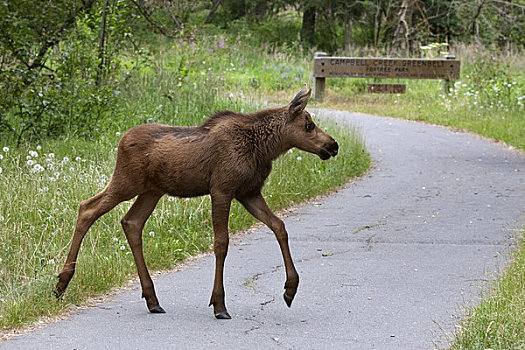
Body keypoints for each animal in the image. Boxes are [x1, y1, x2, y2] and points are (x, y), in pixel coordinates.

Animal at [55, 85, 338, 320]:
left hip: (151, 191)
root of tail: (121, 142)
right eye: (309, 125)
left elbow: (279, 226)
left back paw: (152, 299)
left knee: (131, 222)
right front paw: (219, 304)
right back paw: (62, 282)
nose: (333, 146)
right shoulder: (222, 189)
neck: (264, 149)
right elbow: (221, 243)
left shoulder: (249, 193)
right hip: (126, 181)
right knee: (87, 207)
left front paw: (290, 289)